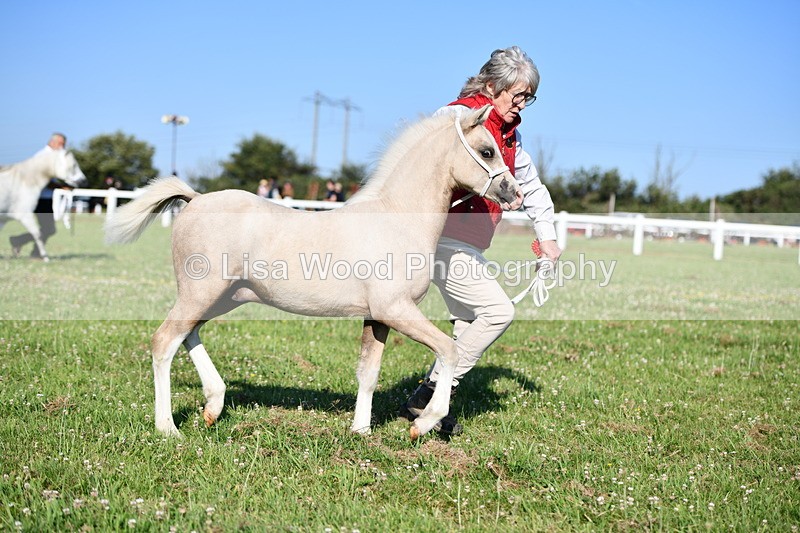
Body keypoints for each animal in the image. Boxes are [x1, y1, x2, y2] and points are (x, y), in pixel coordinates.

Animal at [105, 105, 522, 441]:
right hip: (201, 294)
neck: (396, 218)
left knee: (188, 335)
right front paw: (422, 423)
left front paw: (360, 431)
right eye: (486, 150)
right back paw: (168, 428)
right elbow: (449, 350)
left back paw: (213, 406)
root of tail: (194, 200)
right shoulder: (396, 310)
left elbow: (368, 373)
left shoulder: (377, 317)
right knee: (165, 341)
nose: (514, 193)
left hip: (223, 298)